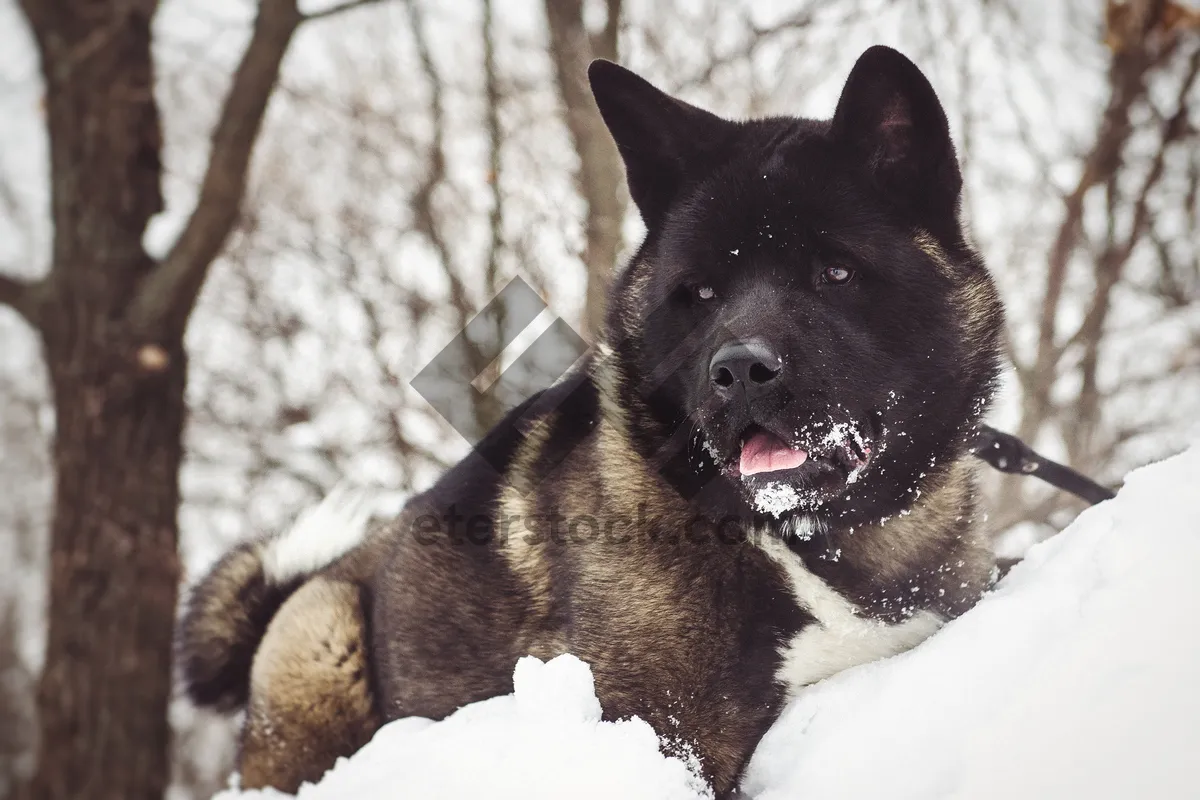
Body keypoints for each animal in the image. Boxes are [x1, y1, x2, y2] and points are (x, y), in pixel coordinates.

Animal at [175, 47, 1003, 796]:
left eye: (835, 271)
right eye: (701, 293)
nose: (737, 372)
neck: (818, 541)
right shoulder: (659, 731)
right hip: (323, 649)